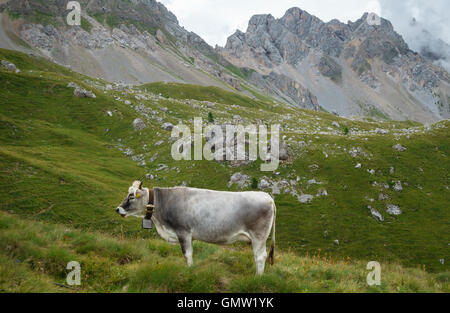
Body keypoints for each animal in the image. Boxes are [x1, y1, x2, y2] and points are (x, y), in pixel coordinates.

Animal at [115, 180, 278, 272]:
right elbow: (190, 254)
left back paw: (258, 277)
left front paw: (189, 271)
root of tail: (267, 197)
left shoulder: (183, 231)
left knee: (260, 257)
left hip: (259, 236)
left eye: (131, 196)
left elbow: (187, 254)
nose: (118, 209)